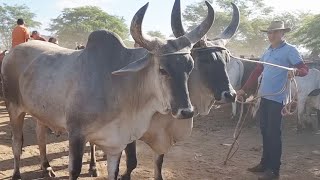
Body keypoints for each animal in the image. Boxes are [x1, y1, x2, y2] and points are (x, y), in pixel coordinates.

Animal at [3, 3, 215, 180]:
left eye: (190, 66)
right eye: (162, 69)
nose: (186, 111)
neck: (122, 88)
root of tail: (11, 52)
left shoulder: (116, 143)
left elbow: (116, 170)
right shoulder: (76, 134)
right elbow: (74, 171)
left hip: (40, 112)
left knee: (40, 135)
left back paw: (47, 167)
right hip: (14, 108)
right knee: (16, 143)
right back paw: (16, 174)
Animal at [109, 1, 239, 179]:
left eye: (226, 60)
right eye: (205, 60)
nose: (230, 95)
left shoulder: (163, 138)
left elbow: (159, 164)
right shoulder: (129, 133)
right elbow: (131, 162)